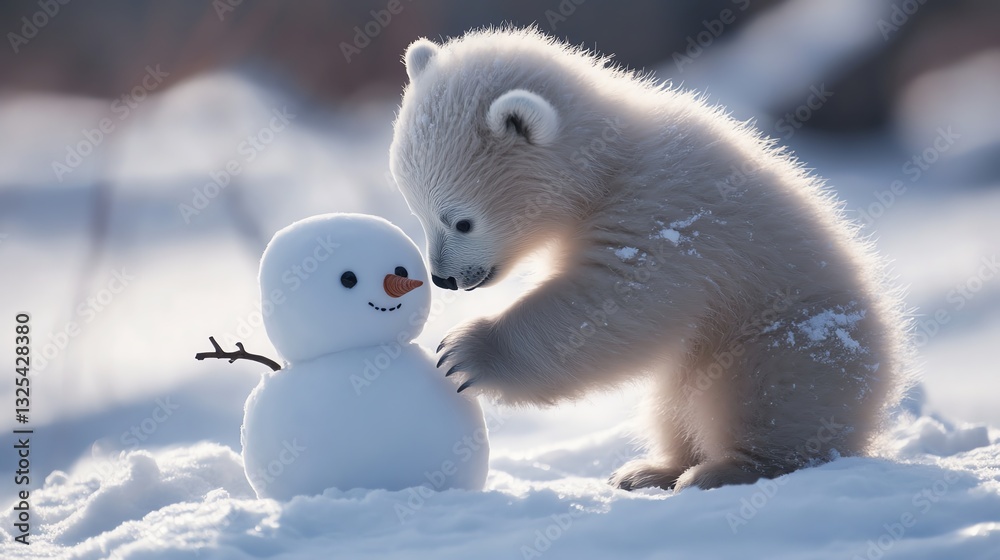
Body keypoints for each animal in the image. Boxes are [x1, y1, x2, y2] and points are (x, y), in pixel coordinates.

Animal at [388, 27, 910, 491]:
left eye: (462, 222)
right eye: (415, 209)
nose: (444, 278)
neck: (609, 163)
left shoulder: (664, 213)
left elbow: (617, 299)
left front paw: (464, 353)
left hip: (789, 335)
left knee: (765, 394)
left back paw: (724, 470)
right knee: (673, 402)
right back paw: (648, 471)